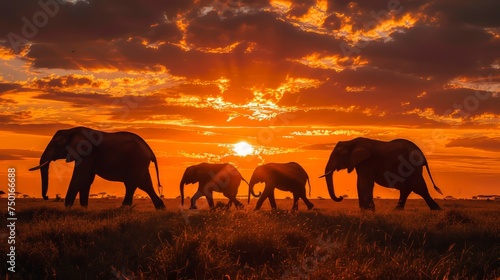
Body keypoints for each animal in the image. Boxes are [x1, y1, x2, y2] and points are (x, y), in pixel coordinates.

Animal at [28, 126, 165, 209]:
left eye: (56, 144)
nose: (46, 197)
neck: (71, 130)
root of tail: (150, 151)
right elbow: (86, 179)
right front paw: (83, 208)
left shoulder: (87, 153)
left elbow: (79, 177)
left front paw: (67, 207)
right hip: (140, 163)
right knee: (145, 185)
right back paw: (161, 208)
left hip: (137, 161)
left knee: (132, 184)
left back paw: (122, 208)